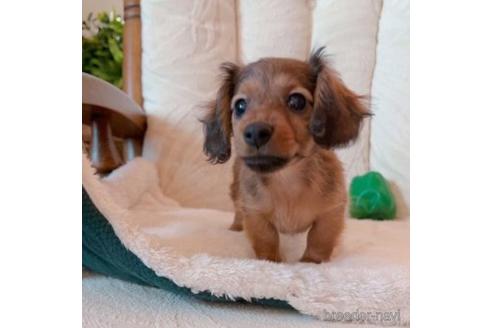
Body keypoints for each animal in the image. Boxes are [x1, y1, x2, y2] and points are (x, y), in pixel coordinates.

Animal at [201, 48, 368, 264]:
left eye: (297, 101)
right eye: (240, 106)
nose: (255, 132)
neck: (286, 179)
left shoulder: (331, 211)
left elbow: (319, 239)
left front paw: (311, 262)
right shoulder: (255, 213)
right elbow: (266, 239)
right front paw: (271, 262)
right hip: (236, 191)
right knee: (238, 210)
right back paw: (236, 227)